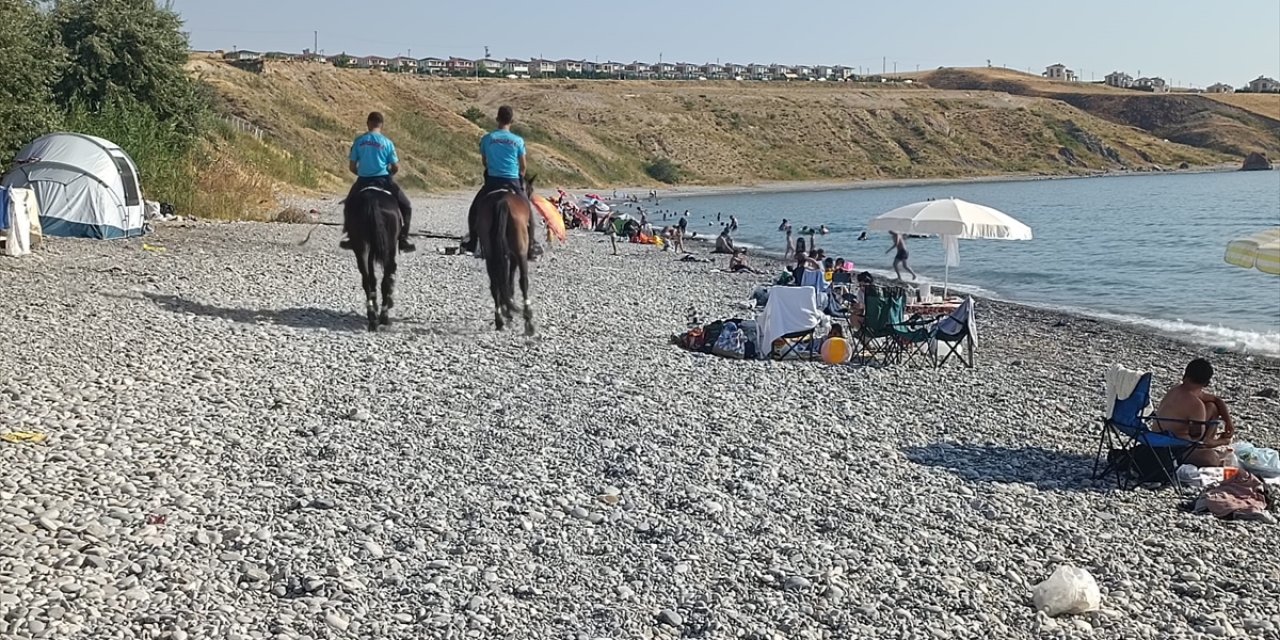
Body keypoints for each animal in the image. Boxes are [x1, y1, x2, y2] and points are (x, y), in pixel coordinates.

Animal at [345, 184, 399, 330]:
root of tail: (372, 201)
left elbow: (372, 278)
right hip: (389, 248)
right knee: (385, 280)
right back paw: (383, 317)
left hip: (361, 246)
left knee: (366, 279)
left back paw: (372, 317)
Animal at [476, 175, 535, 335]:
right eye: (531, 190)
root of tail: (502, 201)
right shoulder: (513, 256)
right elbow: (511, 280)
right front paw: (509, 309)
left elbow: (505, 281)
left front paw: (506, 309)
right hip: (520, 251)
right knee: (523, 281)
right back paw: (528, 321)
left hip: (491, 254)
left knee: (494, 284)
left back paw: (499, 320)